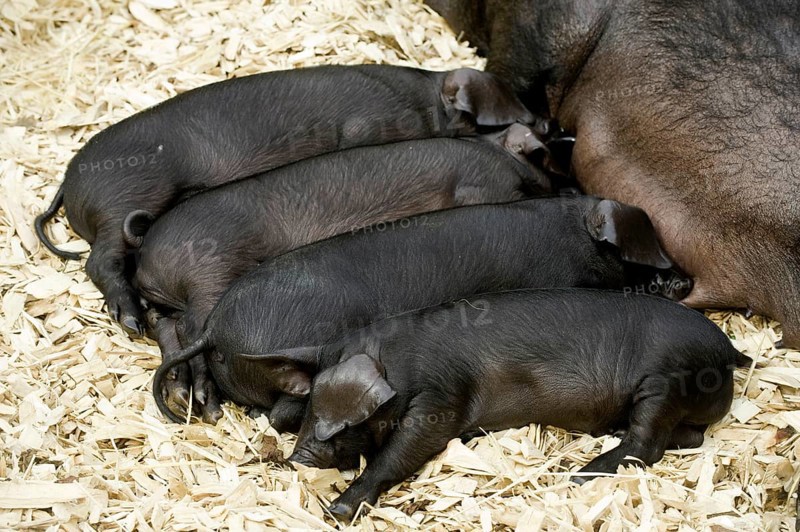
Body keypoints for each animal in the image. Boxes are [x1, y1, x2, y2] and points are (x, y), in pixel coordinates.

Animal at [34, 64, 539, 336]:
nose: (541, 125)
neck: (423, 102)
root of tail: (69, 184)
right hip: (127, 197)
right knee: (100, 261)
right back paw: (131, 321)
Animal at [129, 125, 551, 423]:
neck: (494, 151)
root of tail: (148, 253)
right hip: (210, 274)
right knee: (188, 330)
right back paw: (207, 405)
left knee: (166, 325)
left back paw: (189, 397)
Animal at [286, 288, 744, 520]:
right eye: (307, 408)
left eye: (339, 421)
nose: (296, 458)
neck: (397, 363)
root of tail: (728, 351)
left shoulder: (442, 393)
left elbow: (403, 448)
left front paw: (336, 510)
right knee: (690, 437)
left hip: (665, 380)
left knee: (649, 443)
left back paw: (581, 474)